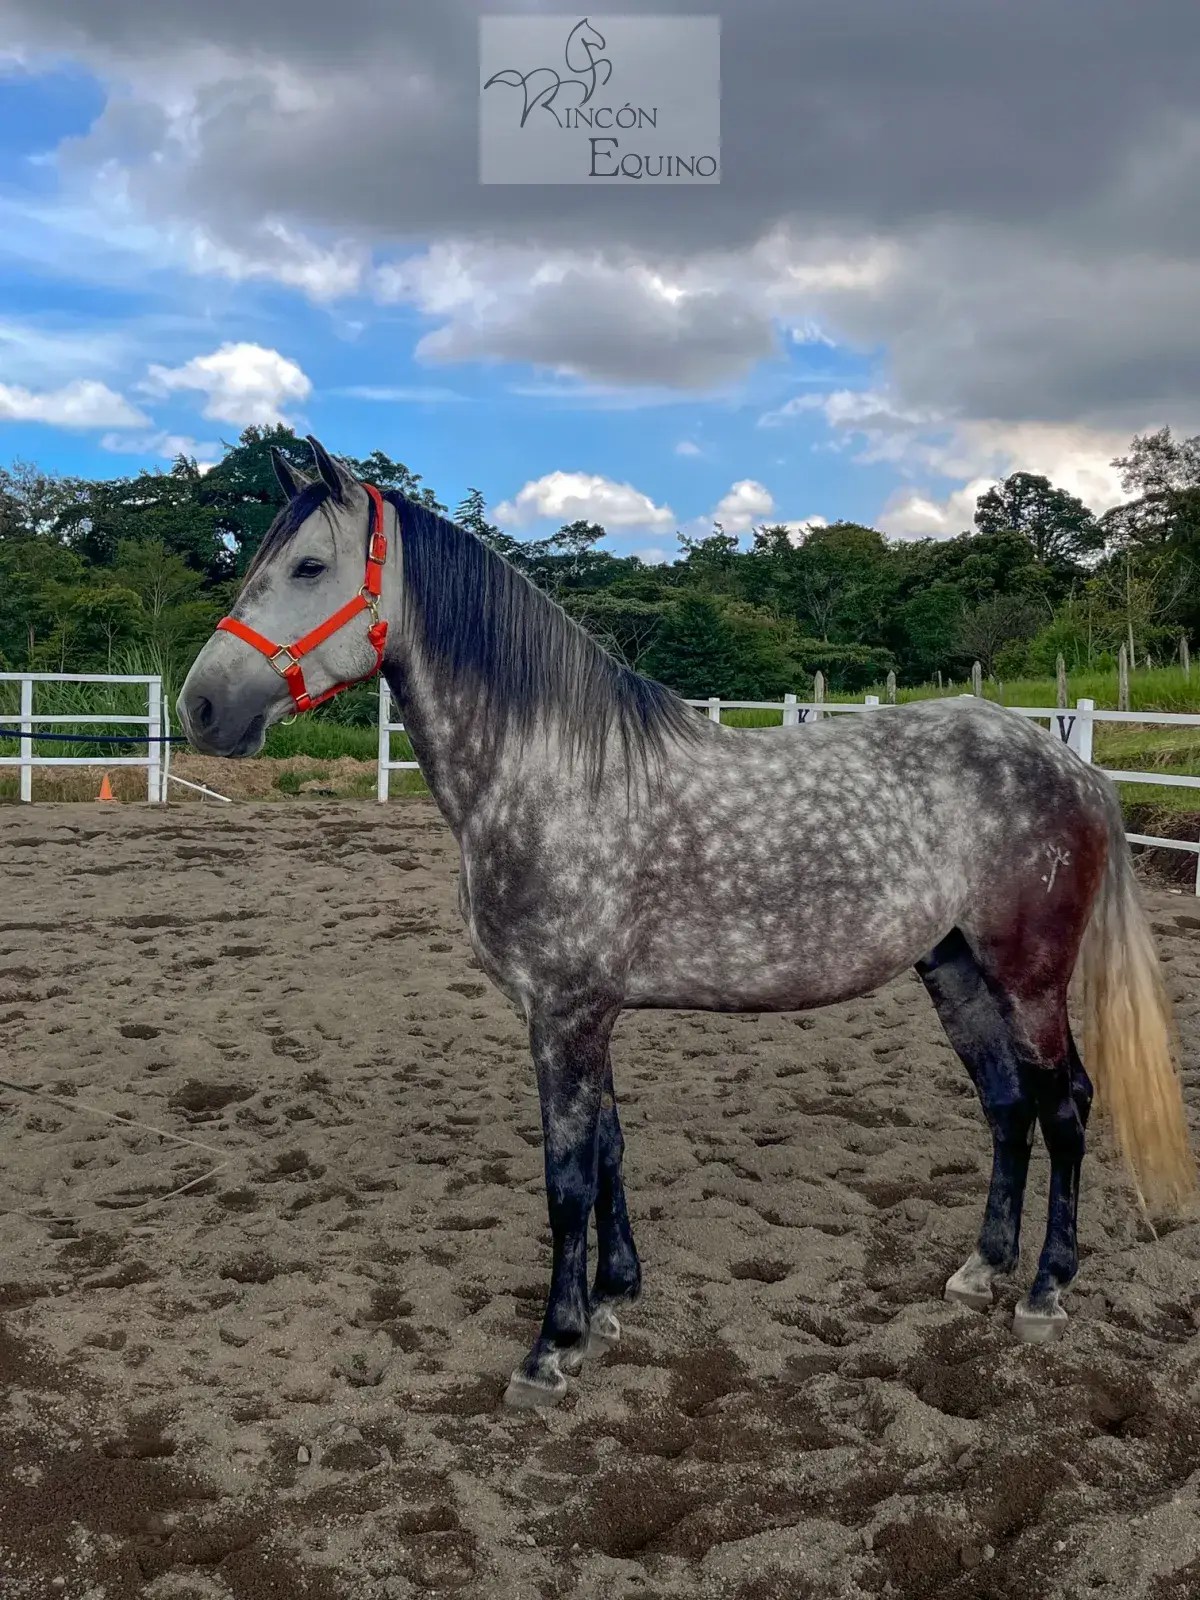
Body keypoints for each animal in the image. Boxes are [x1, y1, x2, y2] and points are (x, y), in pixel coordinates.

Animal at [178, 436, 1196, 1409]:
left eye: (309, 566)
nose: (200, 706)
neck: (550, 772)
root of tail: (1071, 764)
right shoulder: (585, 1013)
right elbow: (610, 1151)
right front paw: (612, 1301)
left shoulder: (564, 1013)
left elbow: (567, 1178)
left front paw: (550, 1350)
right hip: (955, 969)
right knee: (1007, 1105)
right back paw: (982, 1269)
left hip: (1030, 976)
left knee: (1066, 1107)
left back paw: (1045, 1291)